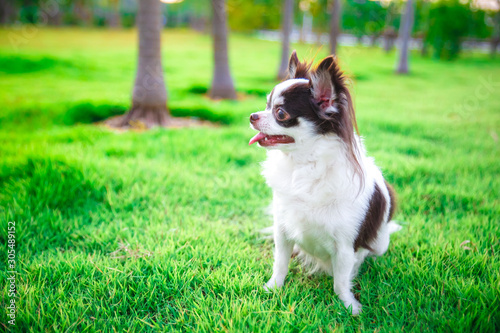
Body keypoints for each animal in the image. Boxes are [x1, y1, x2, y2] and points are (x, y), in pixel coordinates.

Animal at [250, 51, 402, 314]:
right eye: (266, 105)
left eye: (280, 113)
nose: (252, 116)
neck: (302, 165)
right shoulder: (283, 231)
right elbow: (280, 264)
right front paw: (272, 288)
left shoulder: (345, 247)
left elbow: (340, 281)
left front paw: (349, 306)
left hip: (381, 243)